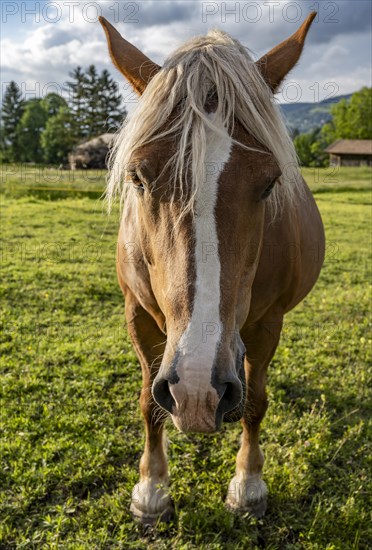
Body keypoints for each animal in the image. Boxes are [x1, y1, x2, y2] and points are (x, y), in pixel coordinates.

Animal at [100, 12, 324, 528]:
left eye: (270, 183)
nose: (198, 390)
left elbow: (257, 403)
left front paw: (248, 486)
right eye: (137, 177)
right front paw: (152, 490)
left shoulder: (267, 322)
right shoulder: (137, 314)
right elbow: (147, 403)